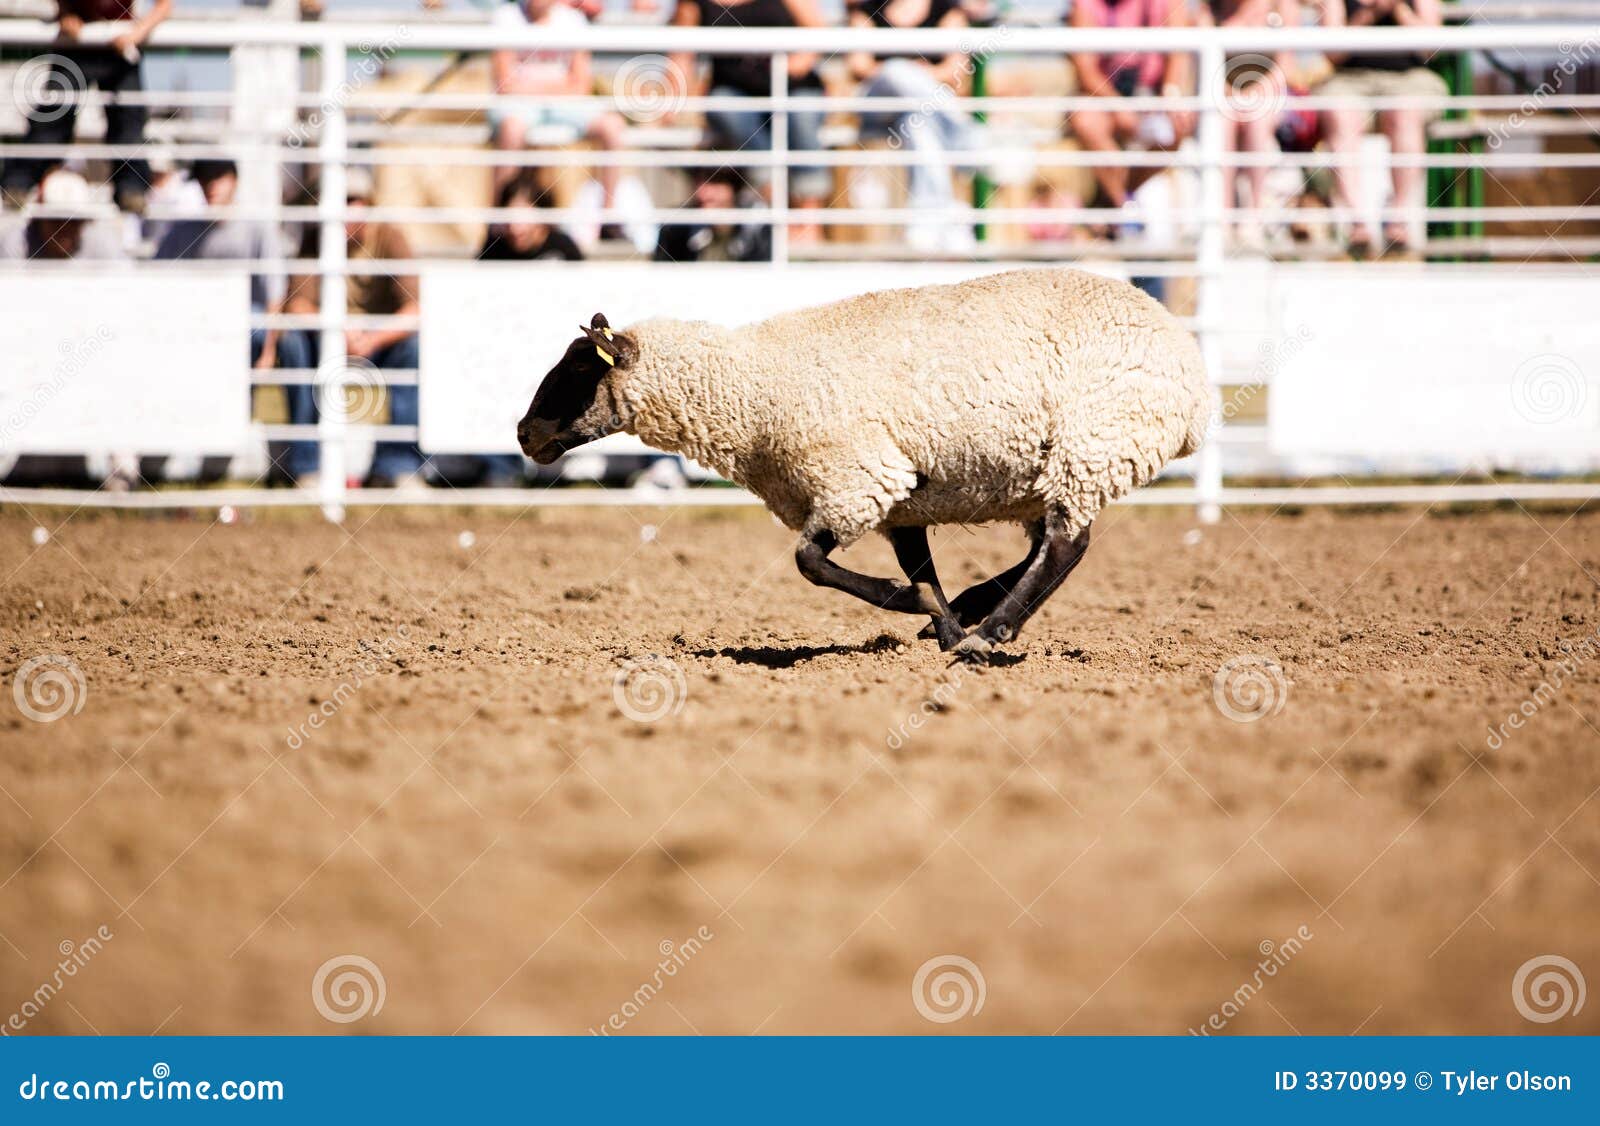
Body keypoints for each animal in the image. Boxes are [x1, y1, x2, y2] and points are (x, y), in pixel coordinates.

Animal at [518, 268, 1203, 665]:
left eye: (579, 368)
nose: (524, 435)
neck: (752, 387)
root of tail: (1187, 361)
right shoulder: (901, 493)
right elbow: (919, 565)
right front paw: (940, 619)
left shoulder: (859, 478)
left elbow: (810, 562)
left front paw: (917, 608)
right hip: (1056, 468)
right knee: (1047, 546)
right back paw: (977, 612)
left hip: (1093, 445)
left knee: (1067, 546)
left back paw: (991, 635)